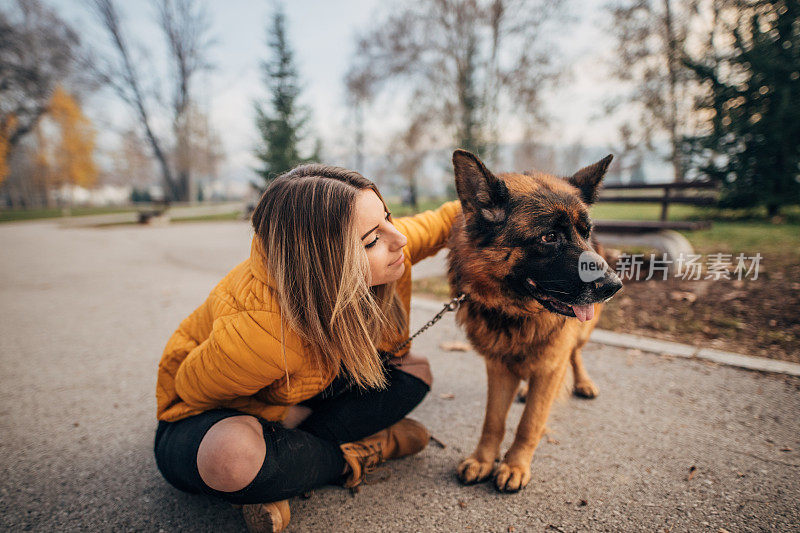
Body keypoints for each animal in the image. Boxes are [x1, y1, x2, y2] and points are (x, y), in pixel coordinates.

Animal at [446, 149, 620, 490]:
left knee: (575, 354)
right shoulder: (498, 366)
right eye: (548, 237)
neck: (518, 313)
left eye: (585, 232)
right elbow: (493, 421)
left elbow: (531, 422)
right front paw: (483, 459)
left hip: (581, 334)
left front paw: (515, 465)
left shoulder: (552, 360)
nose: (613, 286)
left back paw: (582, 382)